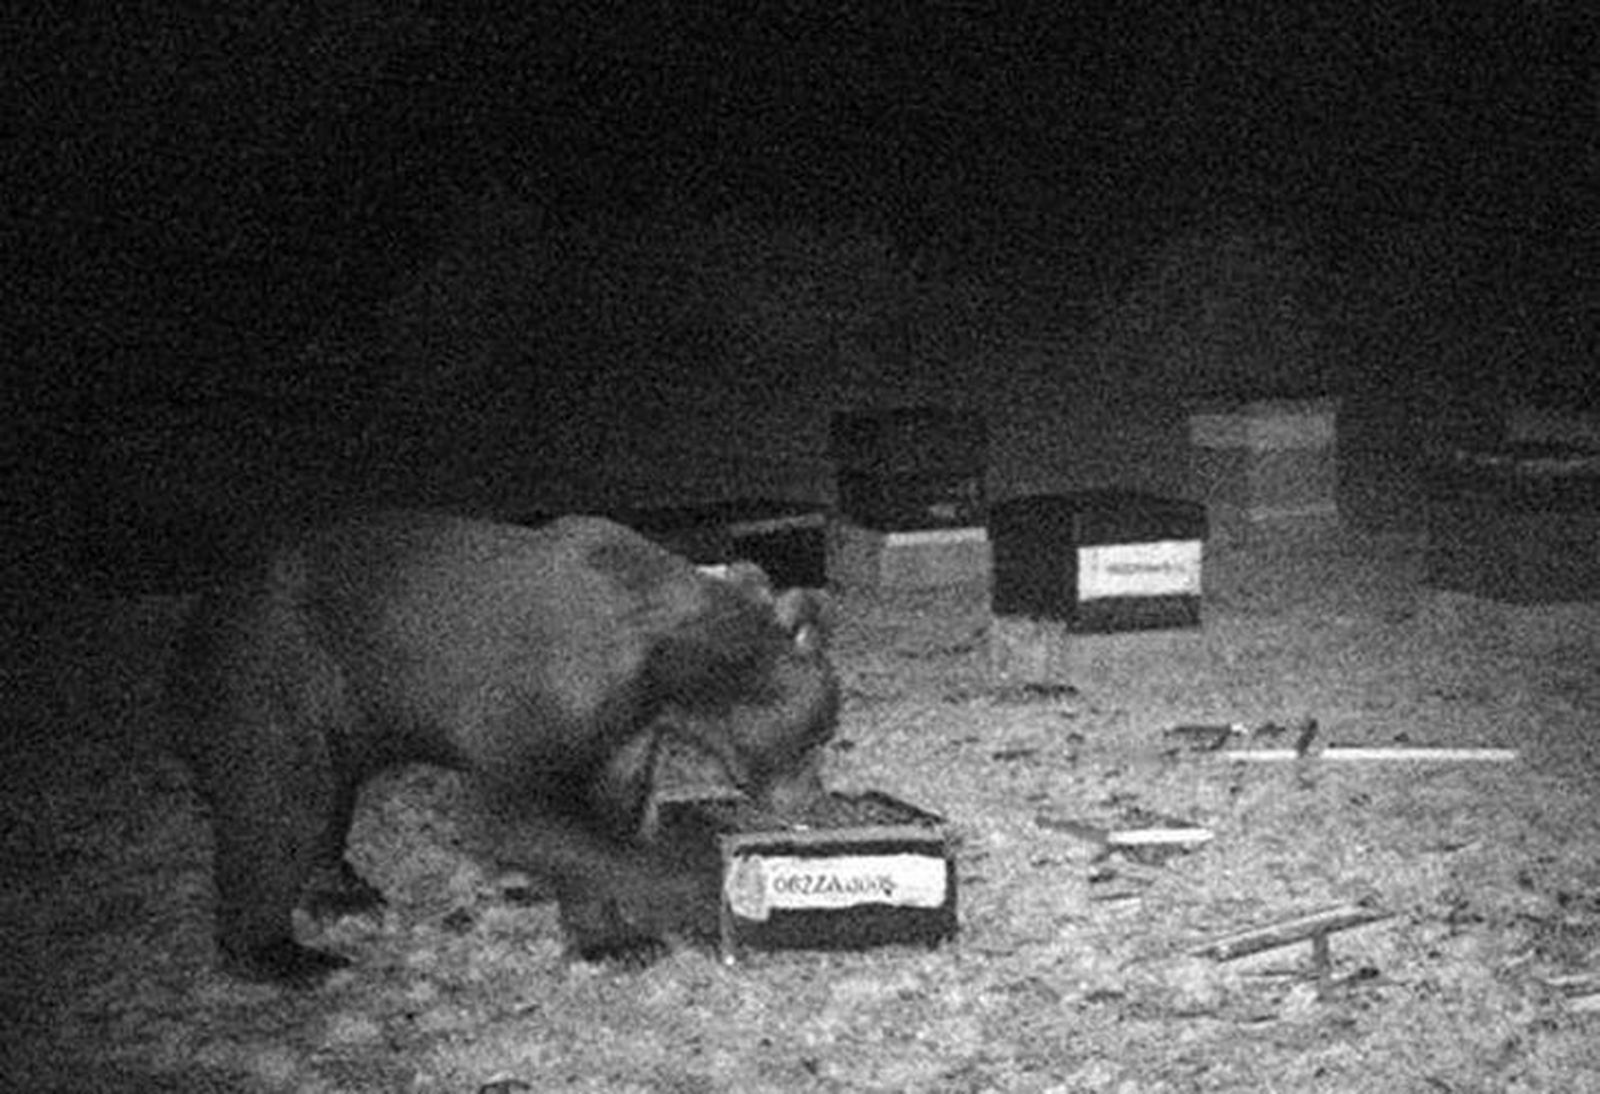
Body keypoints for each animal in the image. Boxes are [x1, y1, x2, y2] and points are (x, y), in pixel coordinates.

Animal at [167, 510, 839, 986]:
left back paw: (341, 891)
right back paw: (281, 954)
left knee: (327, 795)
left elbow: (601, 817)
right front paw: (710, 892)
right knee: (282, 806)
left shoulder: (621, 731)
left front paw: (612, 941)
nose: (812, 799)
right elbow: (516, 813)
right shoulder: (544, 693)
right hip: (275, 676)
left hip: (345, 709)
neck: (663, 669)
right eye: (818, 737)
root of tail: (206, 607)